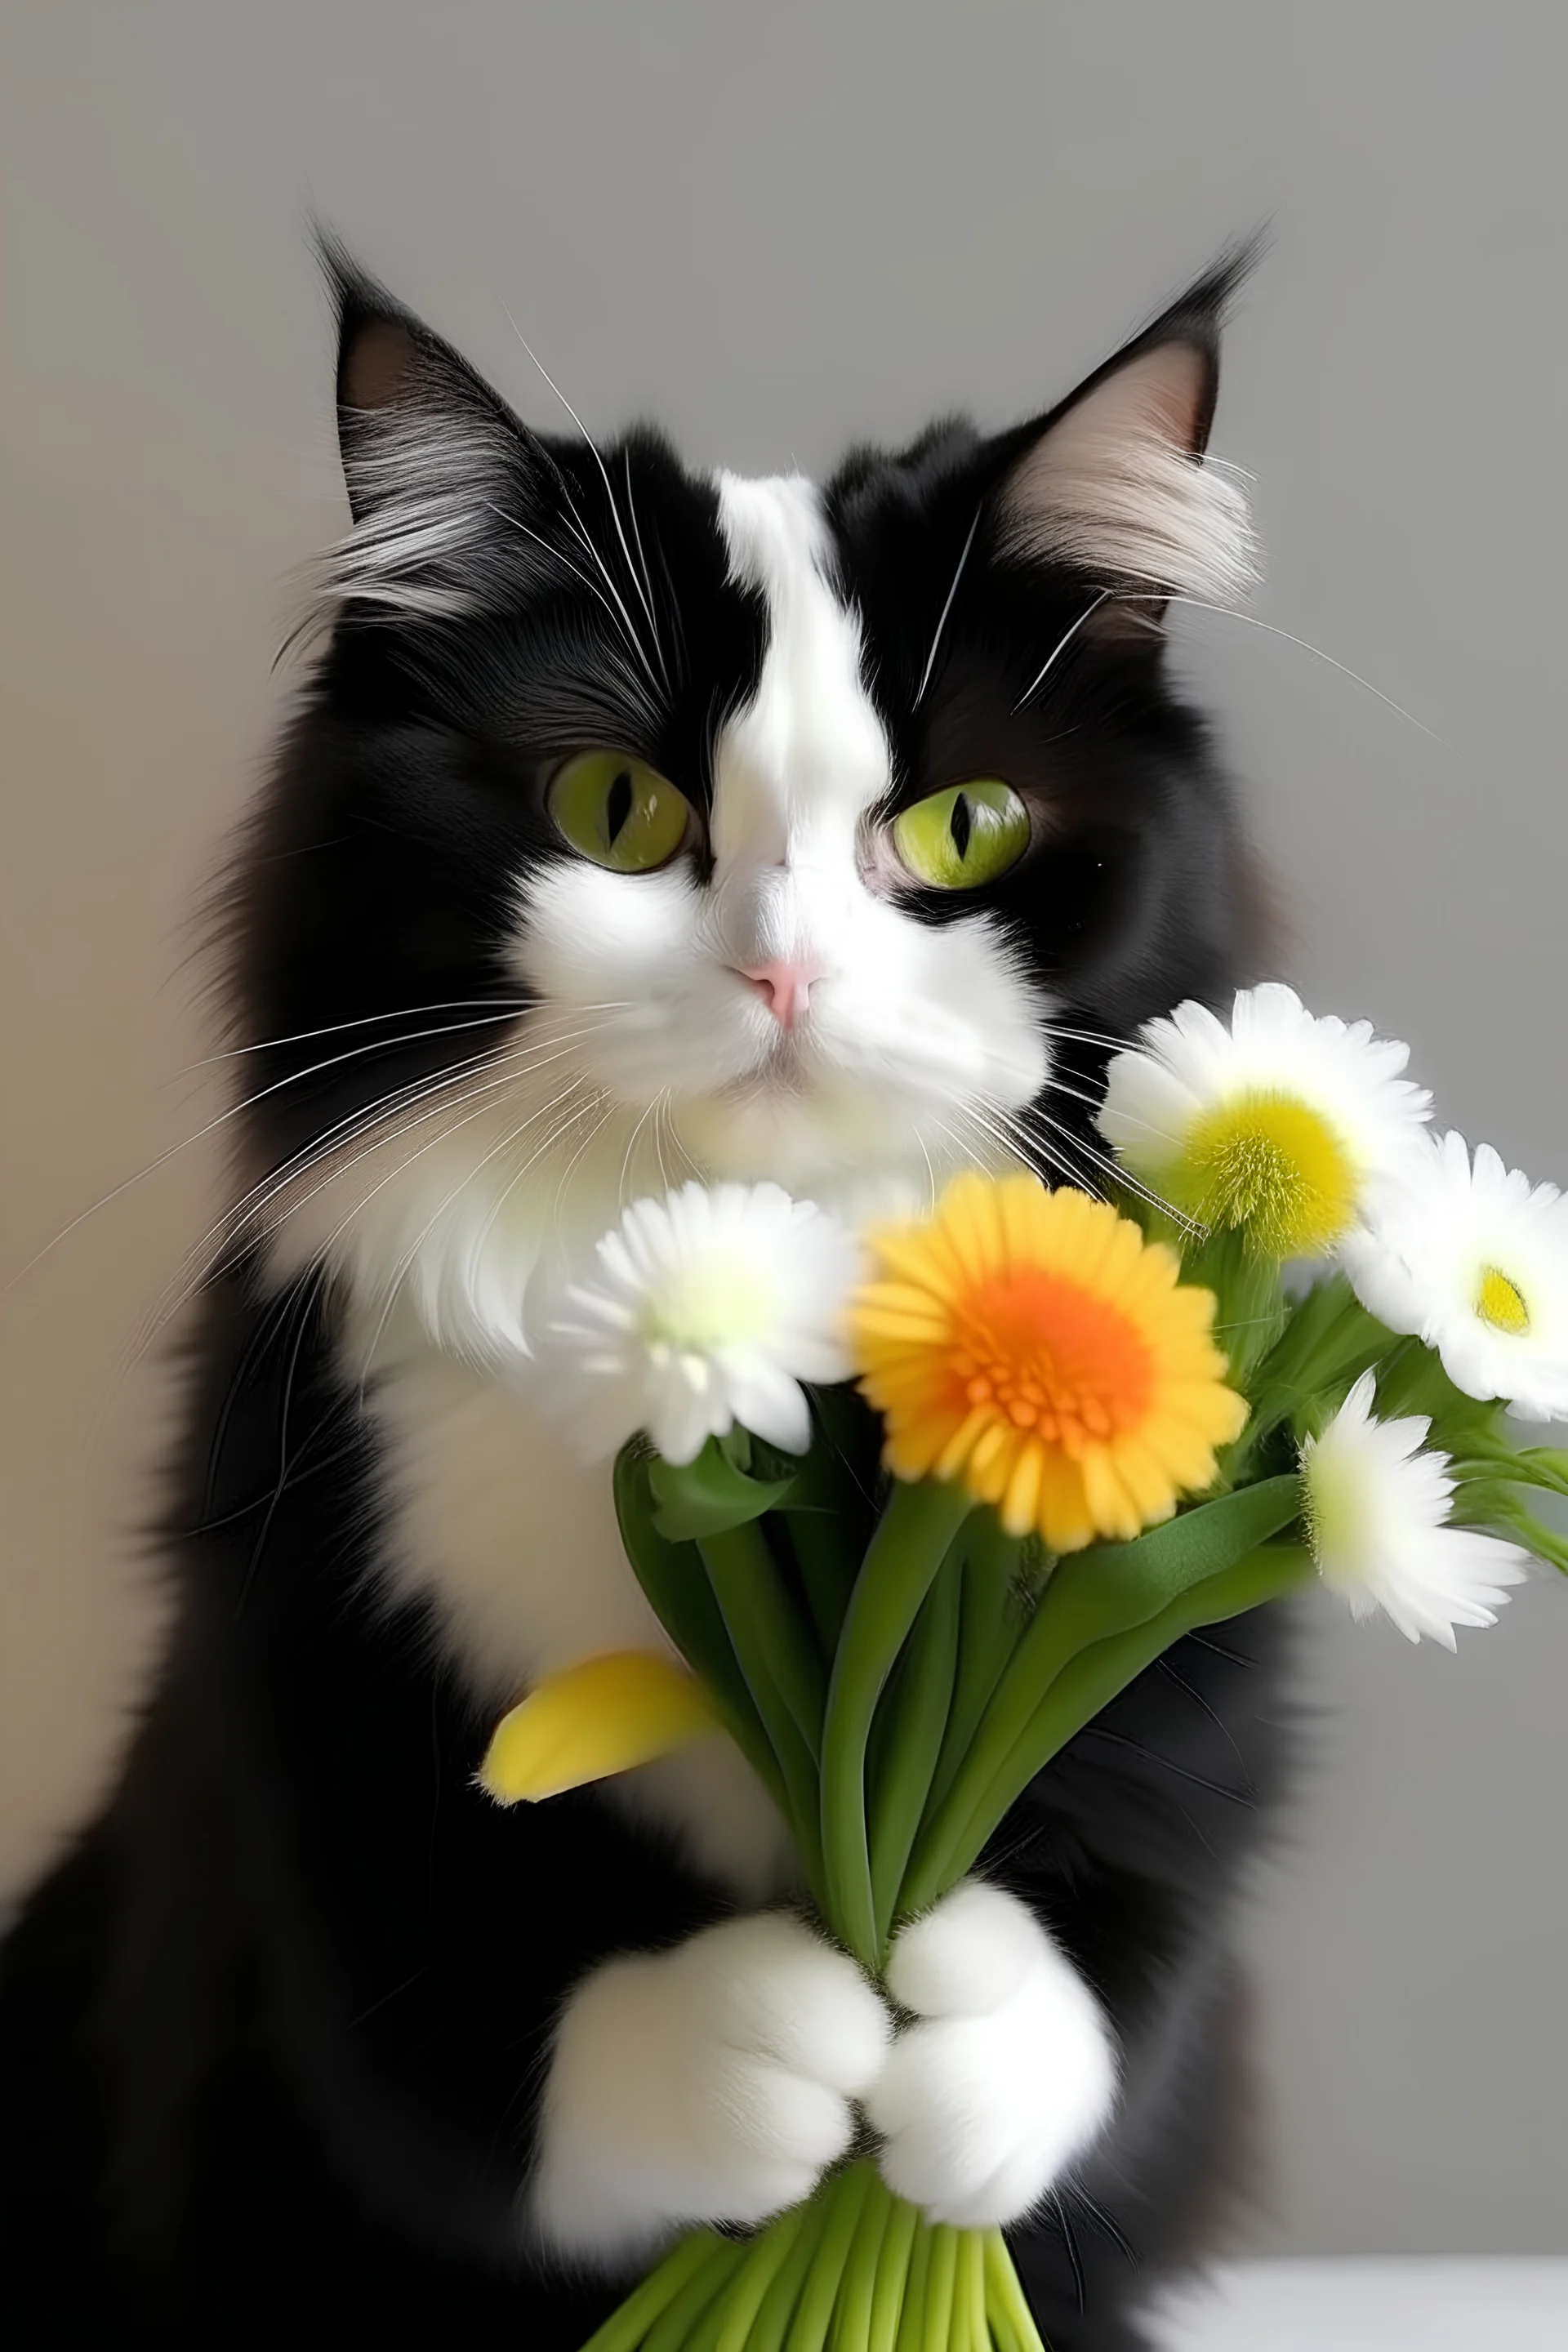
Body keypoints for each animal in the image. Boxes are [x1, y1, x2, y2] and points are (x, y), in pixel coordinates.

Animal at [6, 243, 1297, 2352]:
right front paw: (770, 2044)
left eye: (960, 827)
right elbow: (474, 2032)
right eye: (614, 808)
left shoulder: (1185, 1671)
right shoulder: (301, 1679)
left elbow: (1113, 1934)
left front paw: (945, 2034)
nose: (782, 974)